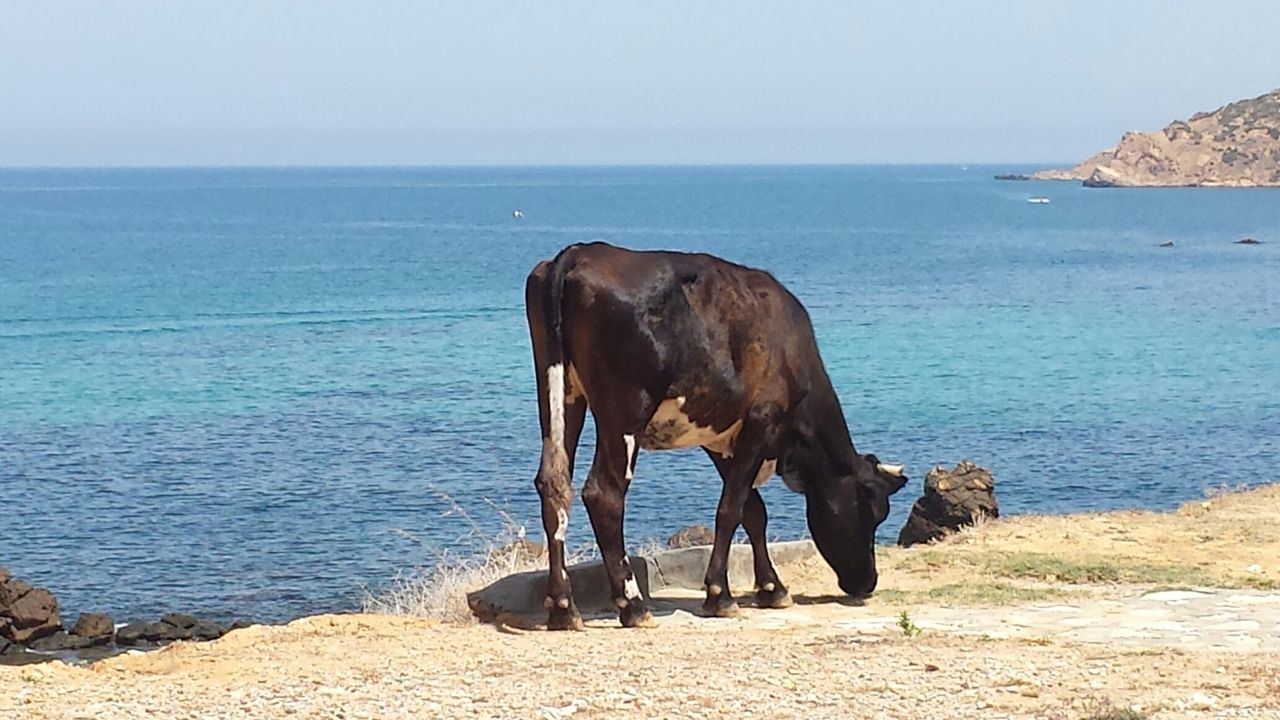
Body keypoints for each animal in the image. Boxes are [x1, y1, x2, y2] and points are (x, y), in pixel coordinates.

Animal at [524, 242, 906, 627]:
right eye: (873, 511)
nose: (868, 582)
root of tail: (580, 252)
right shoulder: (761, 419)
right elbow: (731, 508)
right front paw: (720, 595)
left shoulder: (720, 435)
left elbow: (754, 510)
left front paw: (771, 589)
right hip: (625, 410)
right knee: (604, 494)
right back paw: (633, 605)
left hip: (561, 395)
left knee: (553, 483)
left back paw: (562, 608)